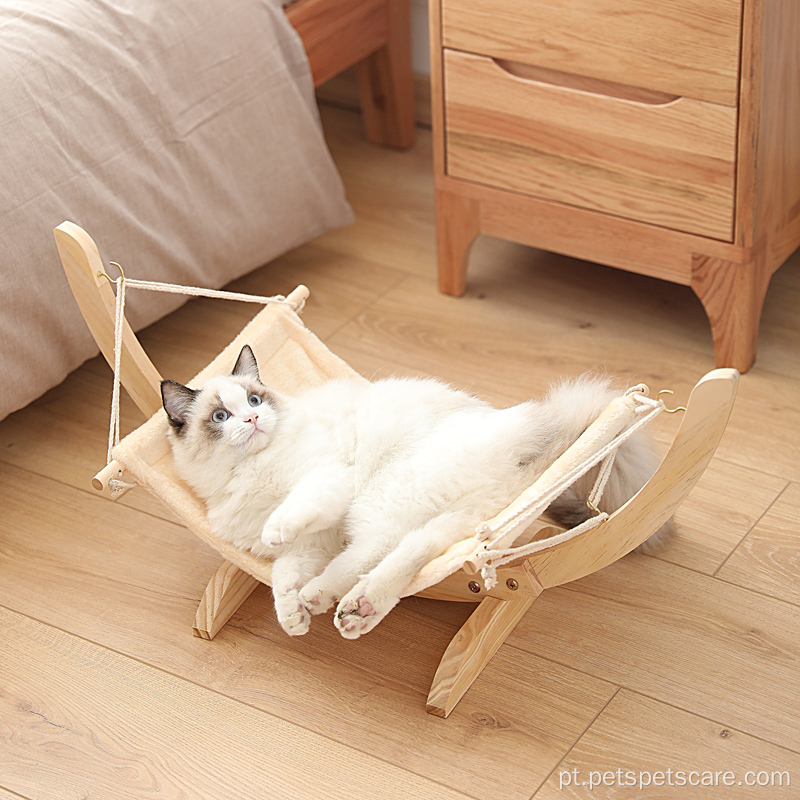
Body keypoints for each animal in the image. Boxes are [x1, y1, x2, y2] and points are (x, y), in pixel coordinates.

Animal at [162, 344, 668, 636]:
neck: (248, 473)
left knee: (386, 547)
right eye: (220, 417)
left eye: (253, 400)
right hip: (453, 512)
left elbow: (293, 513)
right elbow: (282, 580)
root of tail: (532, 433)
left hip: (384, 493)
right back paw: (350, 608)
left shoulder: (326, 483)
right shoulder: (311, 546)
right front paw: (292, 620)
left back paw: (344, 603)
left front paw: (278, 535)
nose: (252, 419)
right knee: (408, 548)